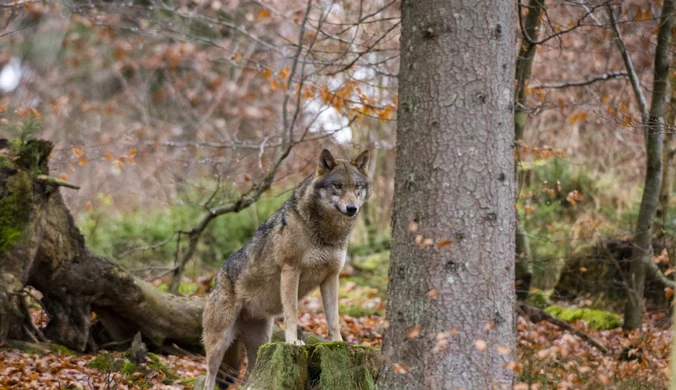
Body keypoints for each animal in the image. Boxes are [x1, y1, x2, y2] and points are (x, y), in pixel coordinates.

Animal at [203, 148, 372, 388]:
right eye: (338, 186)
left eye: (356, 186)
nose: (352, 208)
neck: (327, 233)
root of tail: (216, 280)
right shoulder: (291, 270)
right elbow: (292, 312)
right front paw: (293, 342)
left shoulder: (331, 277)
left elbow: (334, 319)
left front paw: (339, 343)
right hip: (220, 343)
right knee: (209, 375)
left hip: (259, 343)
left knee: (248, 377)